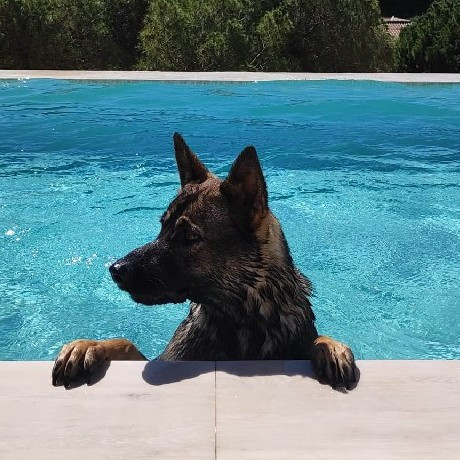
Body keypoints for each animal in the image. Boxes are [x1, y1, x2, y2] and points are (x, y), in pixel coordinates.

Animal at [52, 133, 358, 390]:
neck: (243, 318)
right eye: (162, 227)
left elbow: (317, 340)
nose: (116, 270)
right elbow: (127, 343)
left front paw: (330, 347)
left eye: (188, 237)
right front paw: (89, 346)